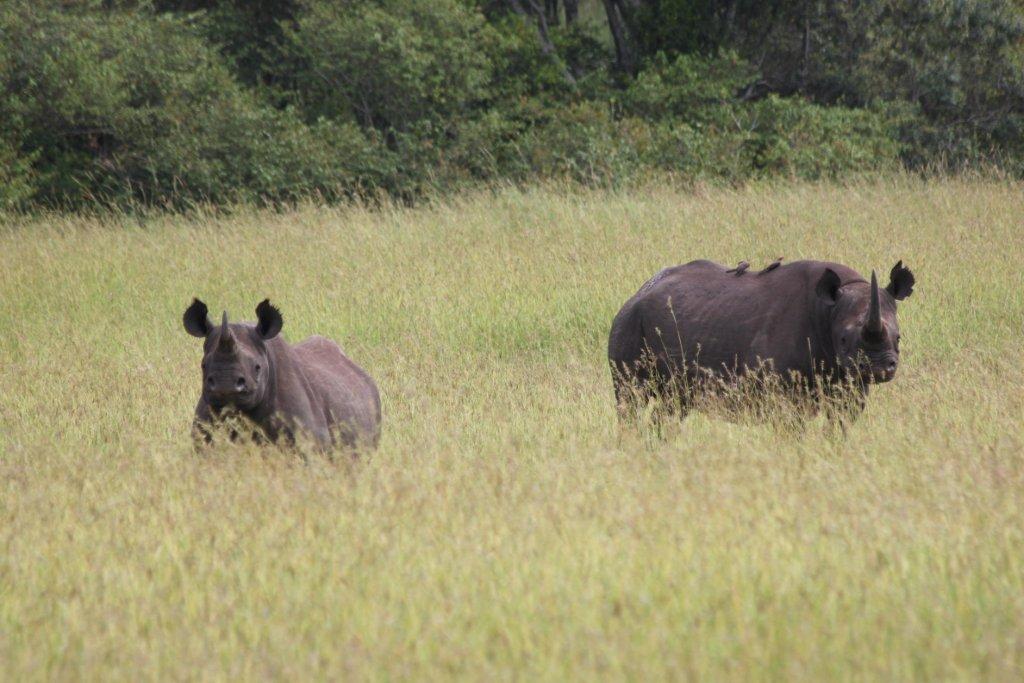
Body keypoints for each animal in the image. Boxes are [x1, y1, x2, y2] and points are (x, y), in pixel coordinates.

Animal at [608, 259, 916, 425]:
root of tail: (638, 291)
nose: (878, 368)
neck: (829, 311)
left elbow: (839, 425)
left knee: (673, 406)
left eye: (899, 337)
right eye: (843, 339)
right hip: (629, 321)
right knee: (629, 399)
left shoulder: (850, 386)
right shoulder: (783, 396)